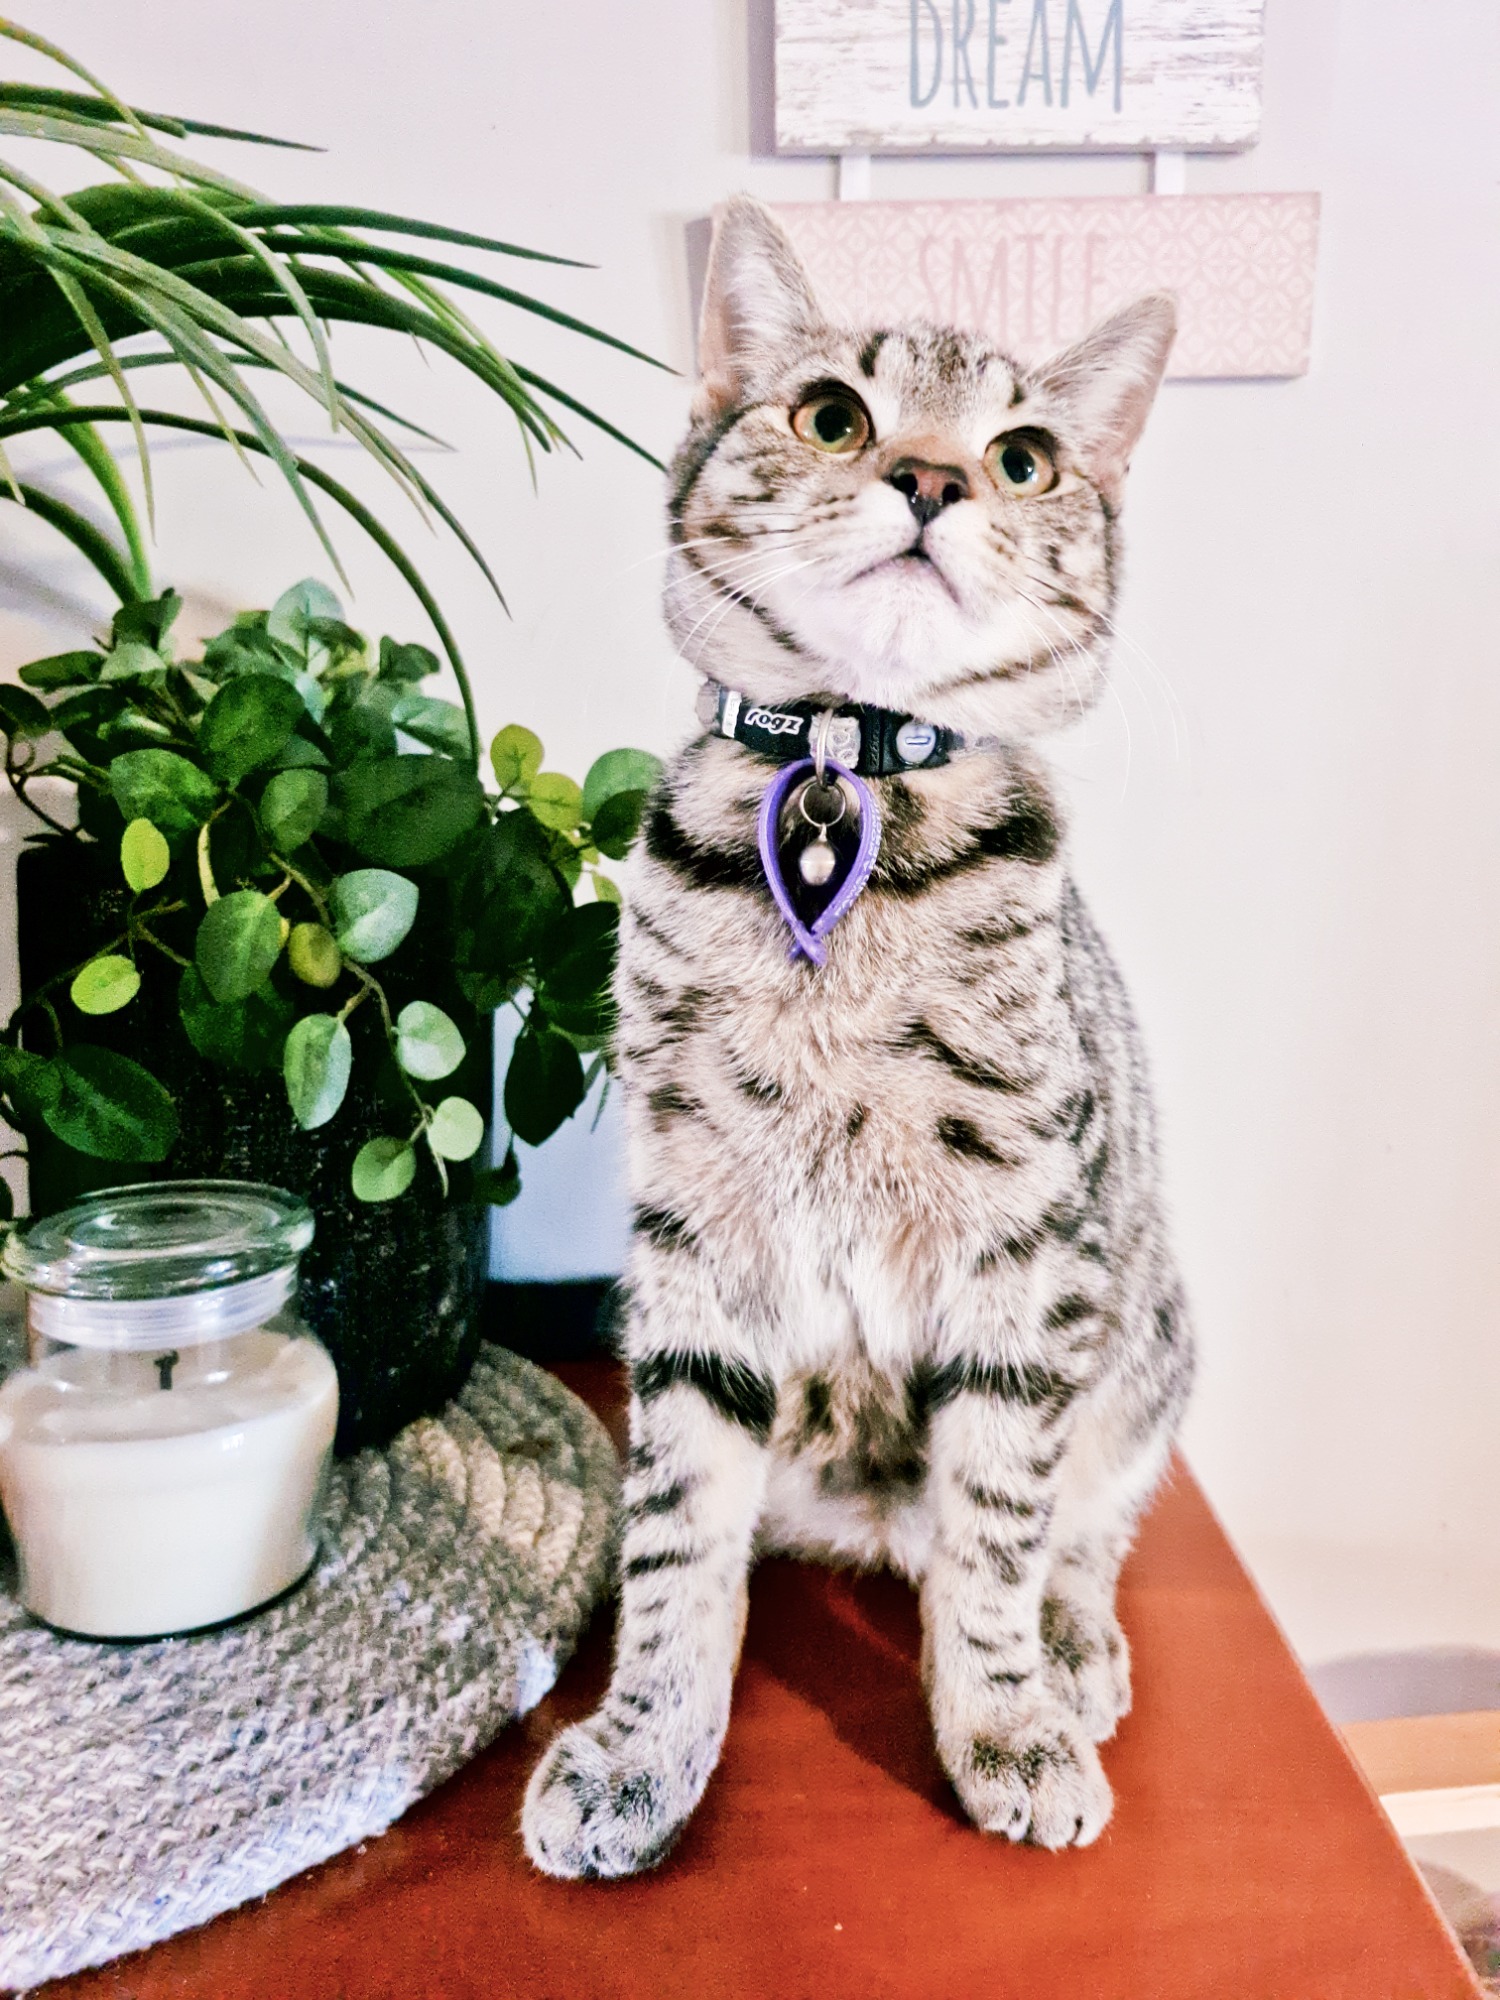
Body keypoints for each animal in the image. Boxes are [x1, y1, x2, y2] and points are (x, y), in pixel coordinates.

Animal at [522, 194, 1194, 1877]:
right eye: (834, 416)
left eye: (1024, 457)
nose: (937, 479)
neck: (848, 778)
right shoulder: (698, 1232)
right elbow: (681, 1533)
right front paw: (644, 1744)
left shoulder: (1025, 1246)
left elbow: (1000, 1529)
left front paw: (1005, 1721)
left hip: (1148, 1344)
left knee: (1081, 1524)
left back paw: (1072, 1648)